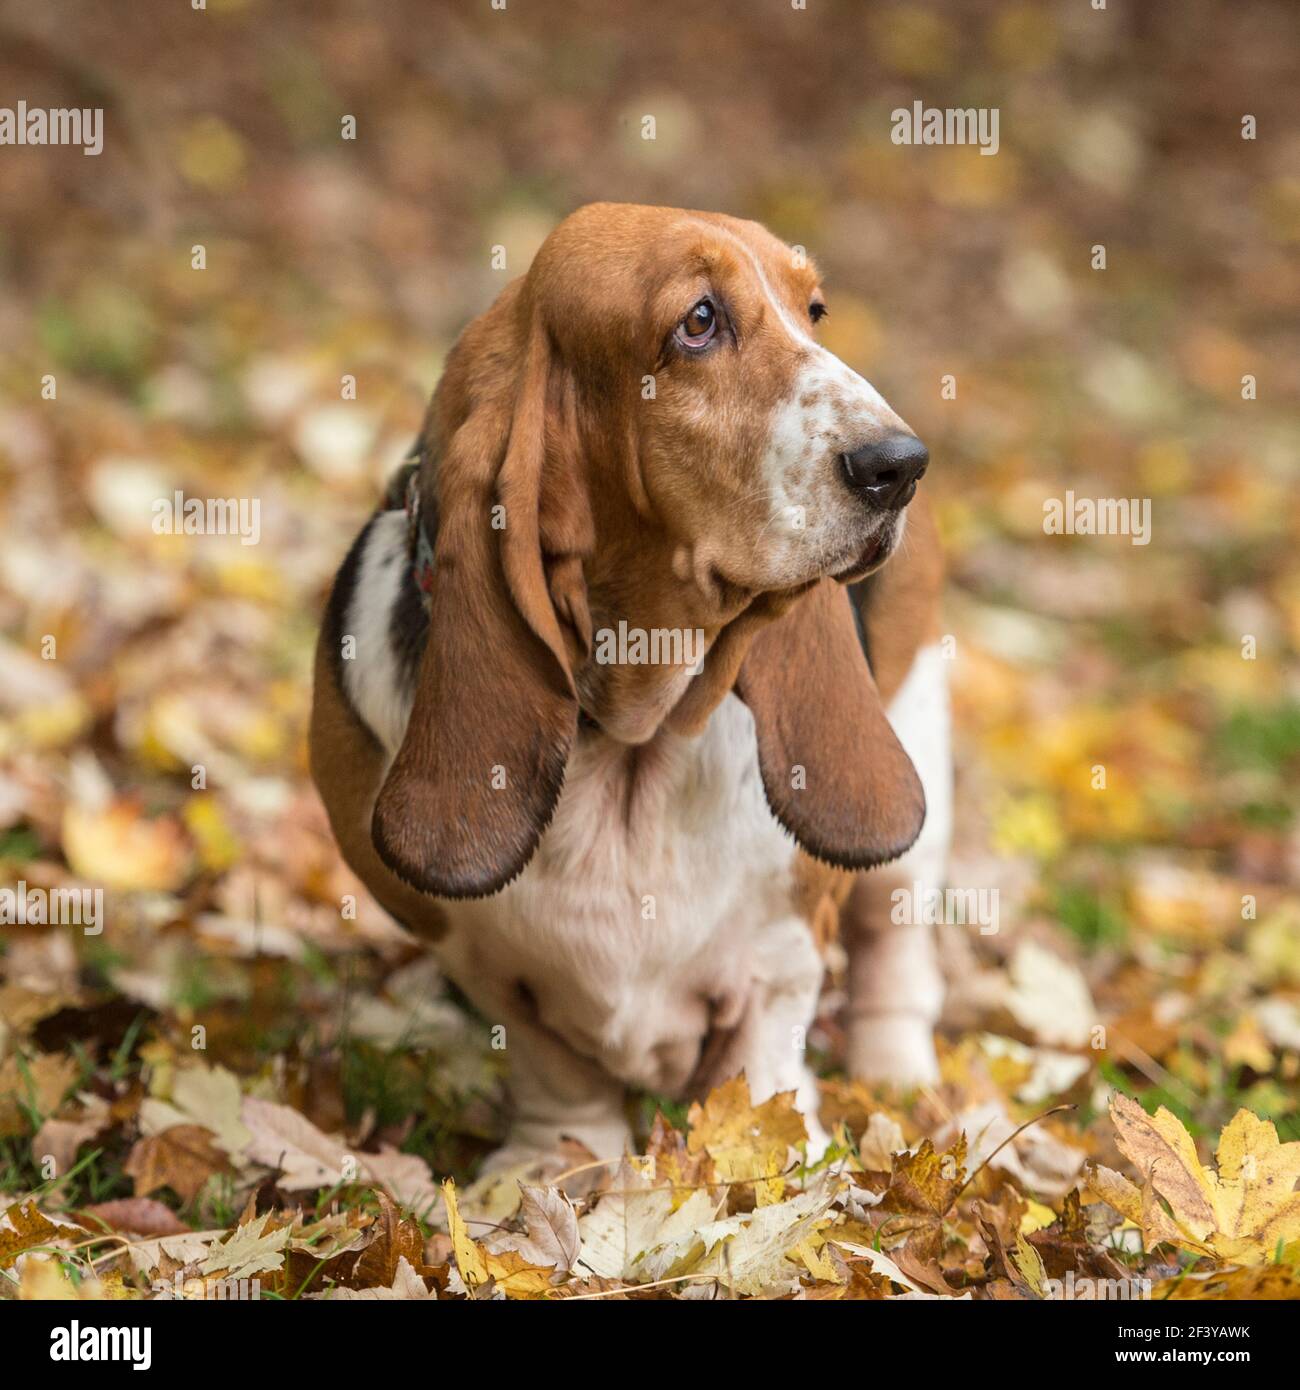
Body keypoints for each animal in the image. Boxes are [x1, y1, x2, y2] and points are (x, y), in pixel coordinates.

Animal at [310, 202, 951, 1162]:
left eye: (815, 312)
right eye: (699, 322)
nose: (900, 463)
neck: (630, 736)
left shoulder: (785, 948)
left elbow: (762, 1062)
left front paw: (770, 1153)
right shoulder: (469, 949)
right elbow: (552, 1063)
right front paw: (560, 1162)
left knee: (895, 947)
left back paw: (898, 1076)